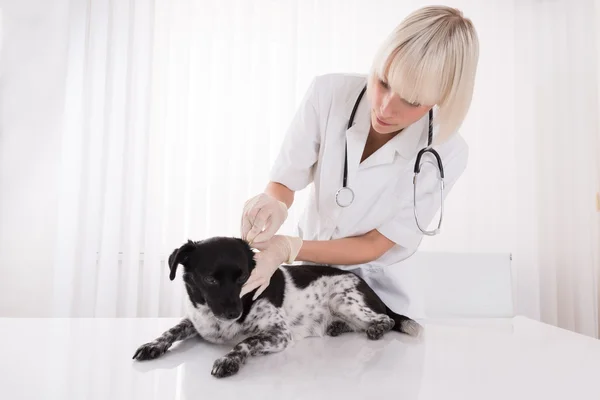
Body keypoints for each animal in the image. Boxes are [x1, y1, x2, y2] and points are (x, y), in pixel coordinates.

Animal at [132, 238, 422, 378]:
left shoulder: (279, 334)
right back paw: (338, 327)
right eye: (210, 279)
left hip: (344, 298)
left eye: (243, 277)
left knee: (386, 318)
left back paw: (375, 329)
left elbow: (245, 342)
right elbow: (171, 330)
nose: (233, 314)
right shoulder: (195, 321)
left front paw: (228, 359)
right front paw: (152, 345)